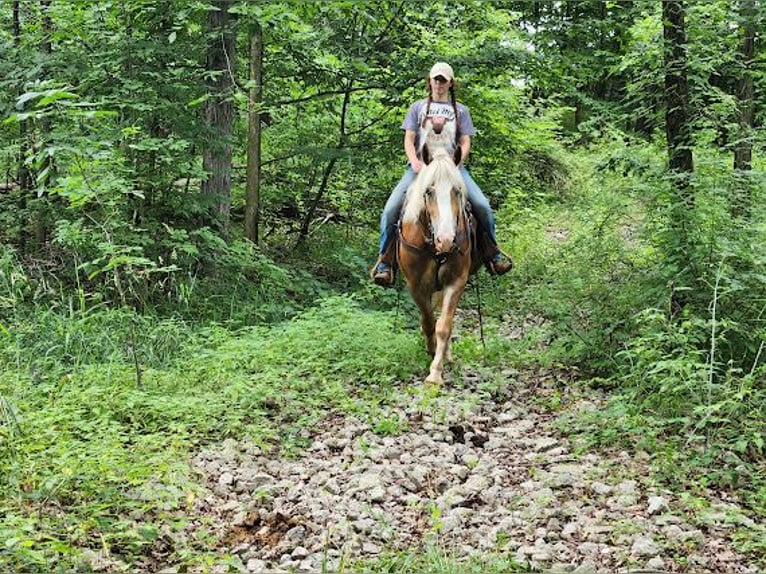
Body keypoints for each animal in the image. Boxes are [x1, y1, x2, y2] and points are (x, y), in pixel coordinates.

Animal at [397, 142, 478, 385]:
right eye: (428, 191)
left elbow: (443, 325)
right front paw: (431, 350)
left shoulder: (456, 281)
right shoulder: (415, 286)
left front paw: (435, 372)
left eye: (457, 190)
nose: (446, 240)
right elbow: (428, 321)